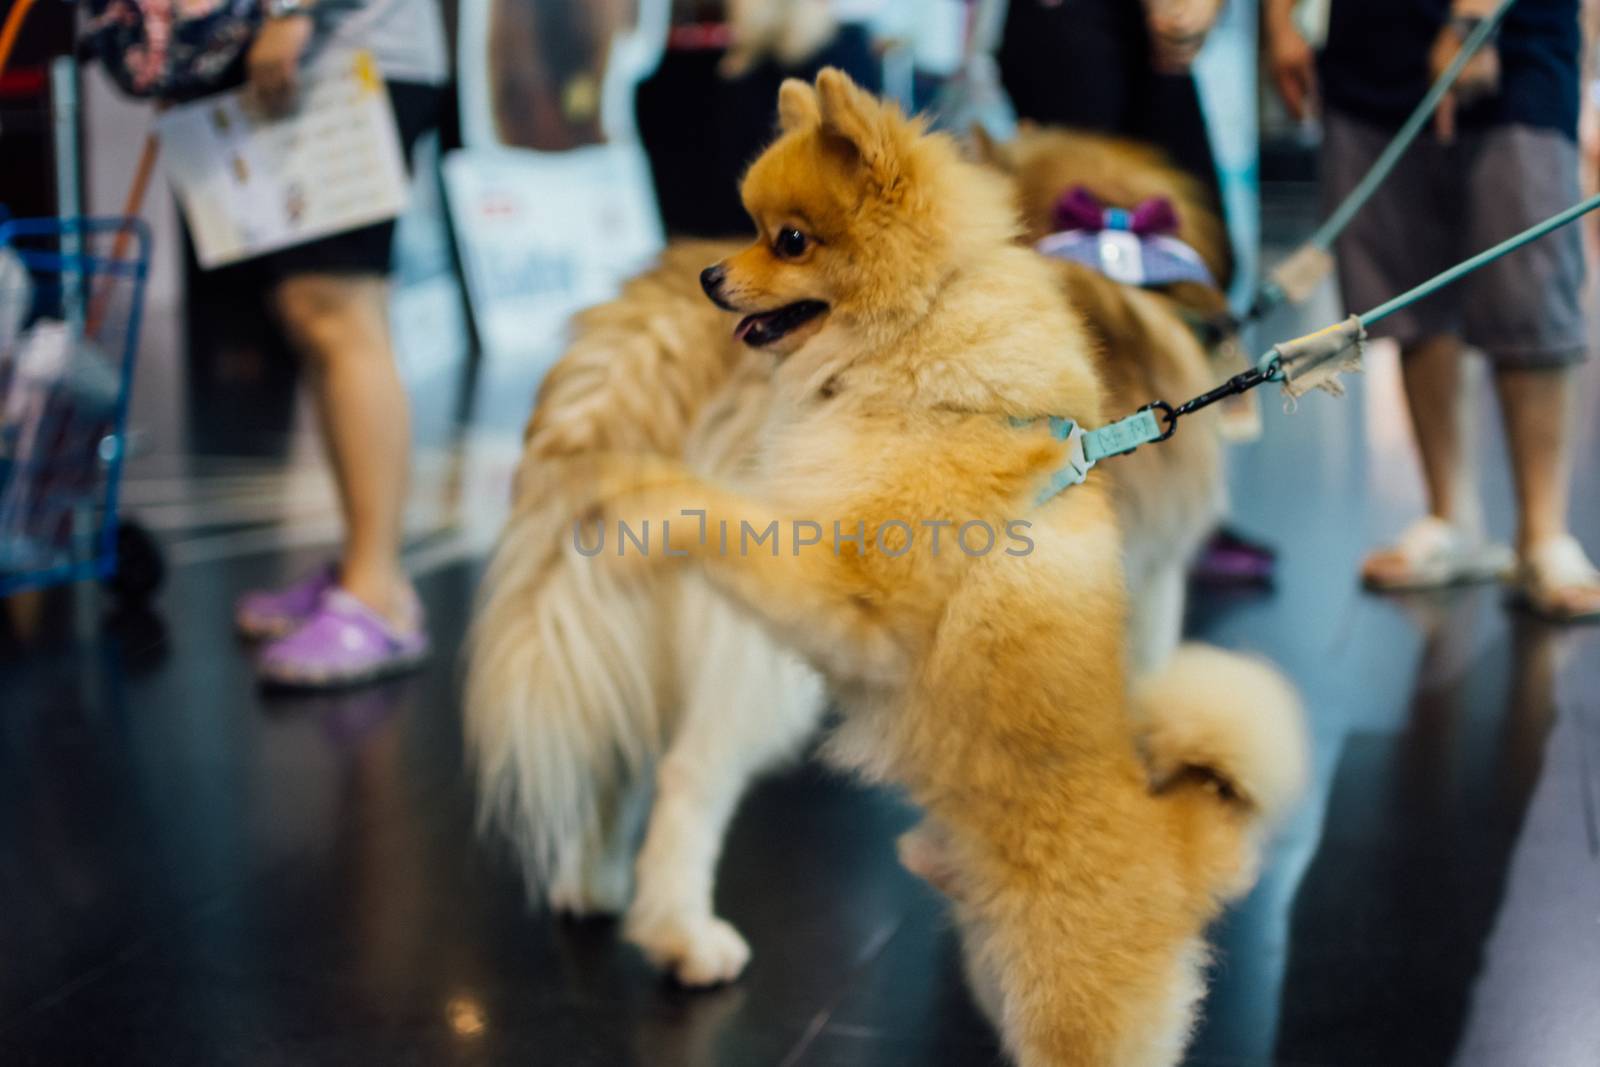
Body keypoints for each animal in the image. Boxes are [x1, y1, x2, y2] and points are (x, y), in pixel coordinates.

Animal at [464, 77, 1248, 1004]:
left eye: (791, 239)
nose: (715, 277)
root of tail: (651, 330)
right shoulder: (1150, 574)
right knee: (690, 773)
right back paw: (683, 934)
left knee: (612, 741)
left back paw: (591, 883)